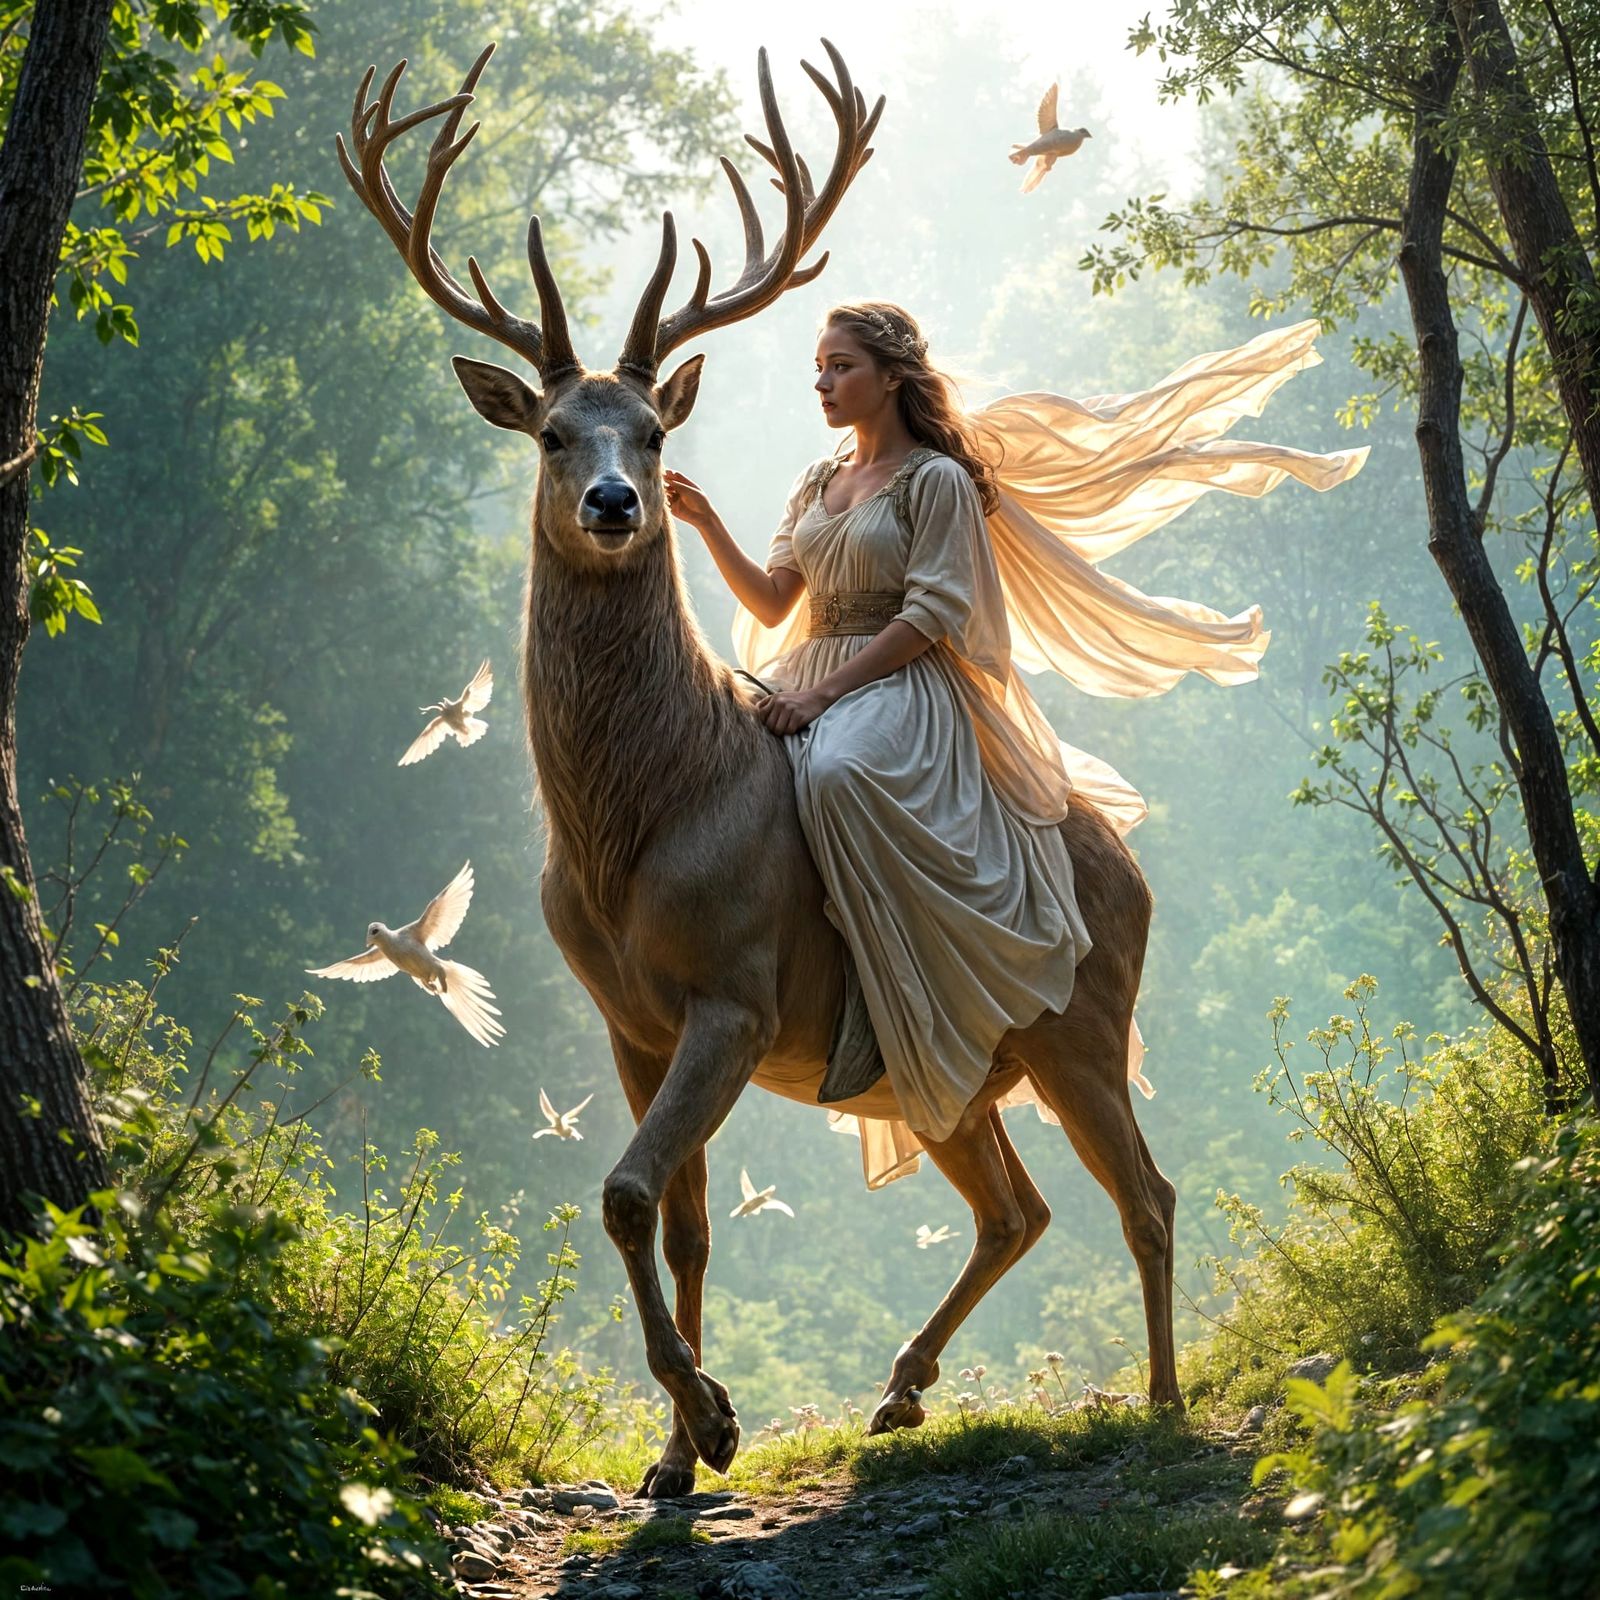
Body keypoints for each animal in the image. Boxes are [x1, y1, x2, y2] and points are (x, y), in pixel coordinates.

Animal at [338, 39, 1178, 1498]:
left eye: (653, 433)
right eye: (552, 432)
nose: (619, 503)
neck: (637, 830)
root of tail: (1132, 864)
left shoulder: (736, 988)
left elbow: (622, 1190)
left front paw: (716, 1421)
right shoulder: (628, 1021)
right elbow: (672, 1221)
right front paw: (676, 1455)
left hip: (1082, 1017)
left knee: (1145, 1195)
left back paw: (1171, 1405)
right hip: (940, 1061)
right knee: (1019, 1207)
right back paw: (899, 1393)